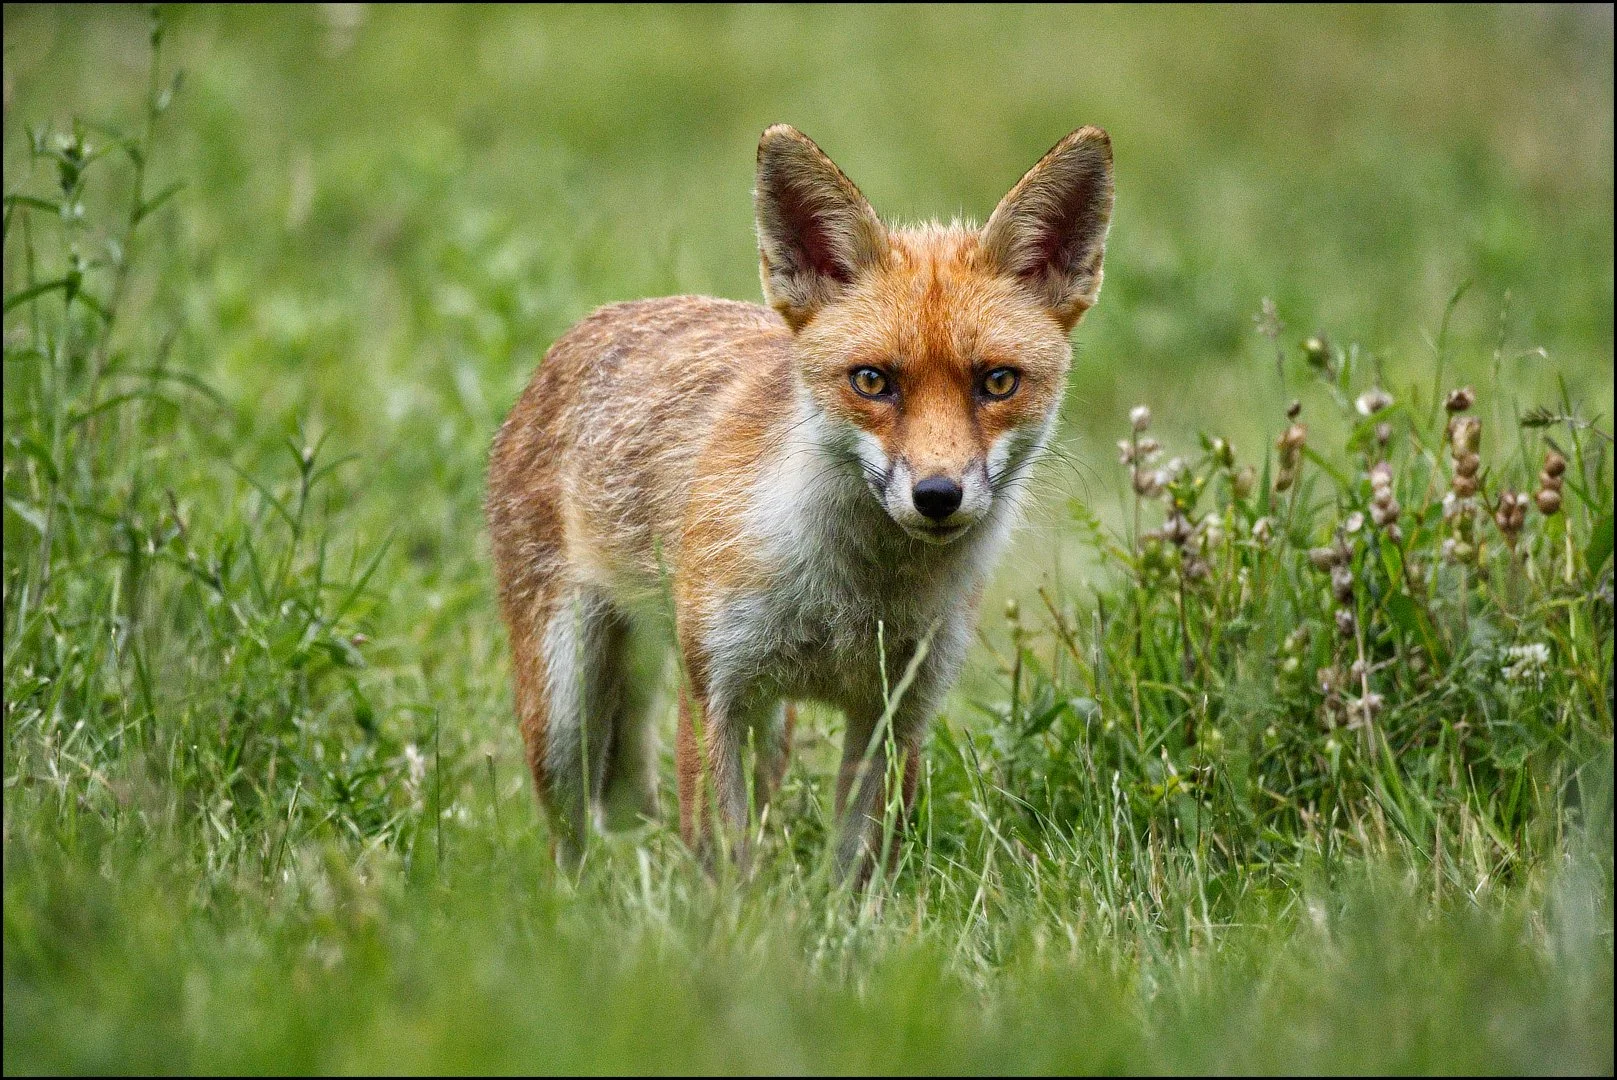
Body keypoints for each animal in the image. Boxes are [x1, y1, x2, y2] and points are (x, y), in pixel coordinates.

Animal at [486, 123, 1114, 873]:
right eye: (872, 381)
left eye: (996, 382)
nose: (937, 495)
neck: (852, 598)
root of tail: (593, 324)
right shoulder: (714, 688)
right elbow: (721, 866)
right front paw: (728, 910)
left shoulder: (897, 711)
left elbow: (855, 870)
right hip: (563, 708)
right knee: (570, 840)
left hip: (771, 733)